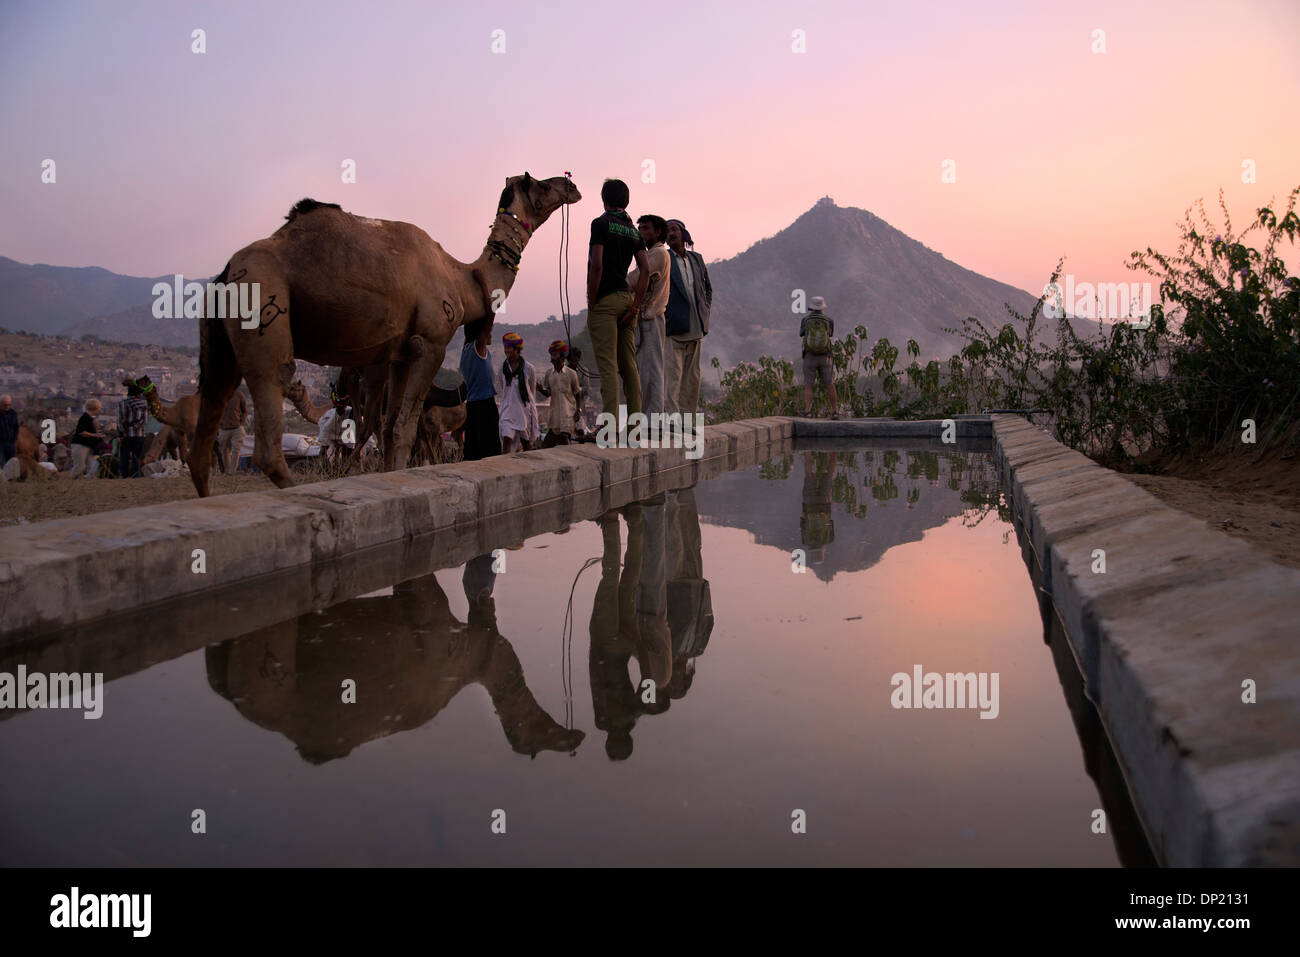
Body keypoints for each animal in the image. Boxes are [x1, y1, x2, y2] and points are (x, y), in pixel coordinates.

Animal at [189, 172, 582, 496]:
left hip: (220, 340)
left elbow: (391, 427)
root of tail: (226, 271)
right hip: (261, 298)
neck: (461, 278)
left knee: (203, 437)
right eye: (540, 184)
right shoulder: (431, 342)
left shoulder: (400, 354)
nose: (571, 185)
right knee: (271, 411)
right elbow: (403, 429)